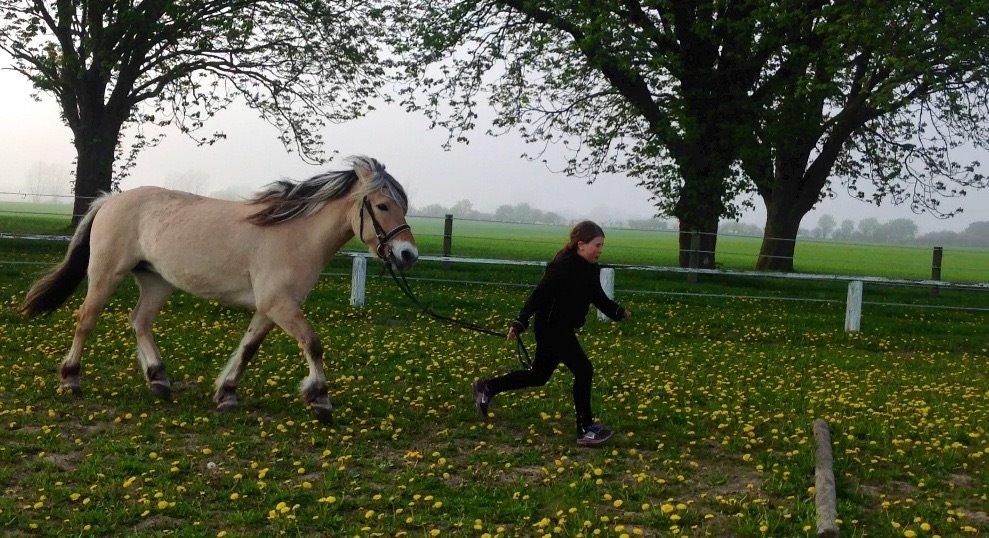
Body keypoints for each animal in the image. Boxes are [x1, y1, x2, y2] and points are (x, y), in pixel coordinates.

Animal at [22, 156, 416, 422]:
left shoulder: (270, 308)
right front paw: (320, 399)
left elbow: (248, 349)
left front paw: (226, 394)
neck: (294, 234)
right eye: (383, 205)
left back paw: (159, 380)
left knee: (140, 322)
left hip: (156, 281)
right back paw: (71, 380)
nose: (407, 254)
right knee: (87, 319)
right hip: (106, 273)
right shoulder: (280, 305)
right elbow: (313, 343)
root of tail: (110, 200)